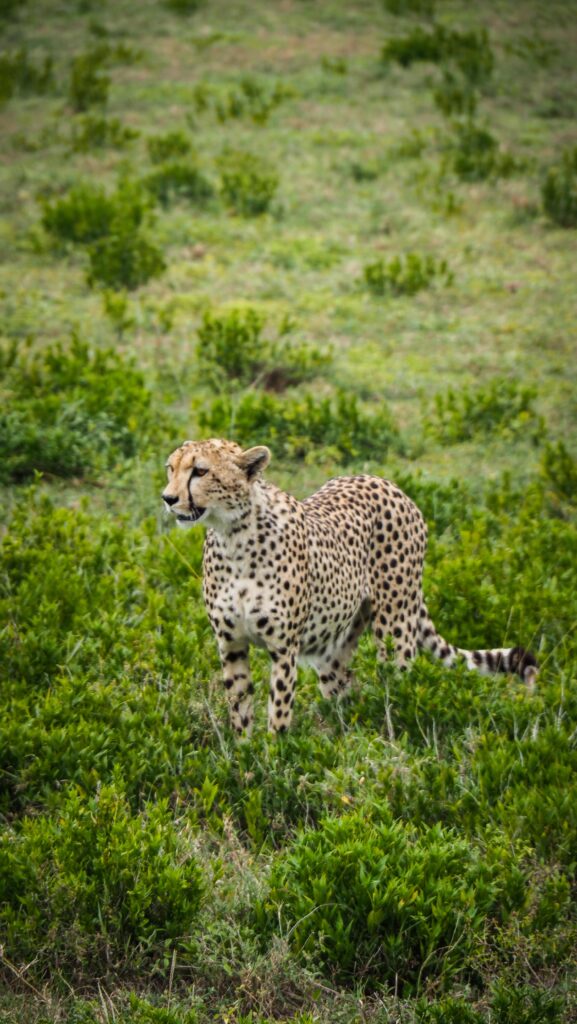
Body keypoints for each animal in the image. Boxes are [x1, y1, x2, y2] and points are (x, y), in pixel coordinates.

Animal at [161, 438, 537, 737]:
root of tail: (385, 482)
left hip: (395, 628)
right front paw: (245, 758)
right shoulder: (232, 643)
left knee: (399, 685)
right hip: (332, 645)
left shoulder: (284, 648)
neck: (233, 535)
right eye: (171, 468)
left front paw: (274, 760)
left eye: (200, 471)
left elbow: (278, 712)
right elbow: (239, 710)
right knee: (344, 691)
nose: (168, 498)